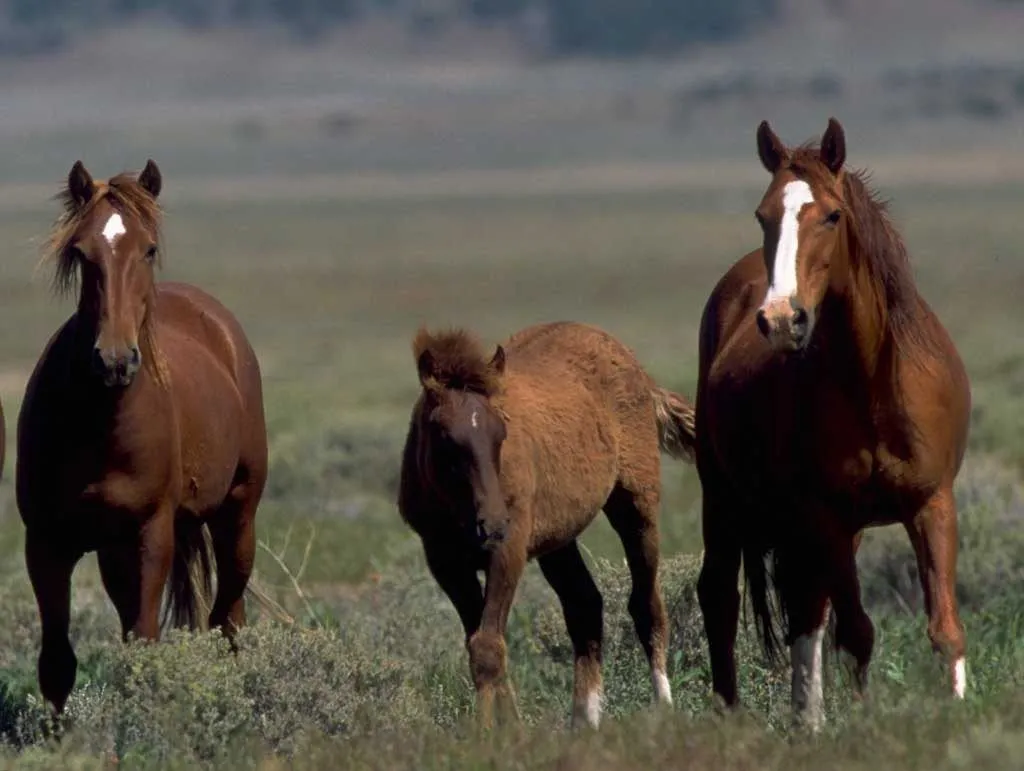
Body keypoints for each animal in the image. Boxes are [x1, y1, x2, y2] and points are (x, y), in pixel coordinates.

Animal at [18, 159, 272, 712]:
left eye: (148, 248)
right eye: (81, 251)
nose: (114, 361)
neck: (100, 428)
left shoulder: (150, 535)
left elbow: (145, 643)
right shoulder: (46, 542)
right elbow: (56, 663)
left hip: (237, 519)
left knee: (229, 621)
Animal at [395, 321, 700, 729]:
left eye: (500, 433)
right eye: (444, 436)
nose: (493, 525)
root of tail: (638, 369)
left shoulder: (508, 551)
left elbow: (488, 646)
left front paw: (490, 734)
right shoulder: (445, 561)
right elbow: (483, 643)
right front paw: (510, 729)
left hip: (636, 506)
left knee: (646, 604)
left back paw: (663, 710)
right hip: (559, 540)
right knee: (585, 605)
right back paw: (584, 722)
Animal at [692, 115, 970, 729]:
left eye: (832, 215)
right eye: (763, 215)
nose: (781, 318)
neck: (875, 384)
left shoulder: (932, 503)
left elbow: (945, 628)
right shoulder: (829, 515)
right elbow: (858, 634)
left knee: (807, 612)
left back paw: (806, 719)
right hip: (723, 499)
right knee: (721, 597)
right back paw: (732, 717)